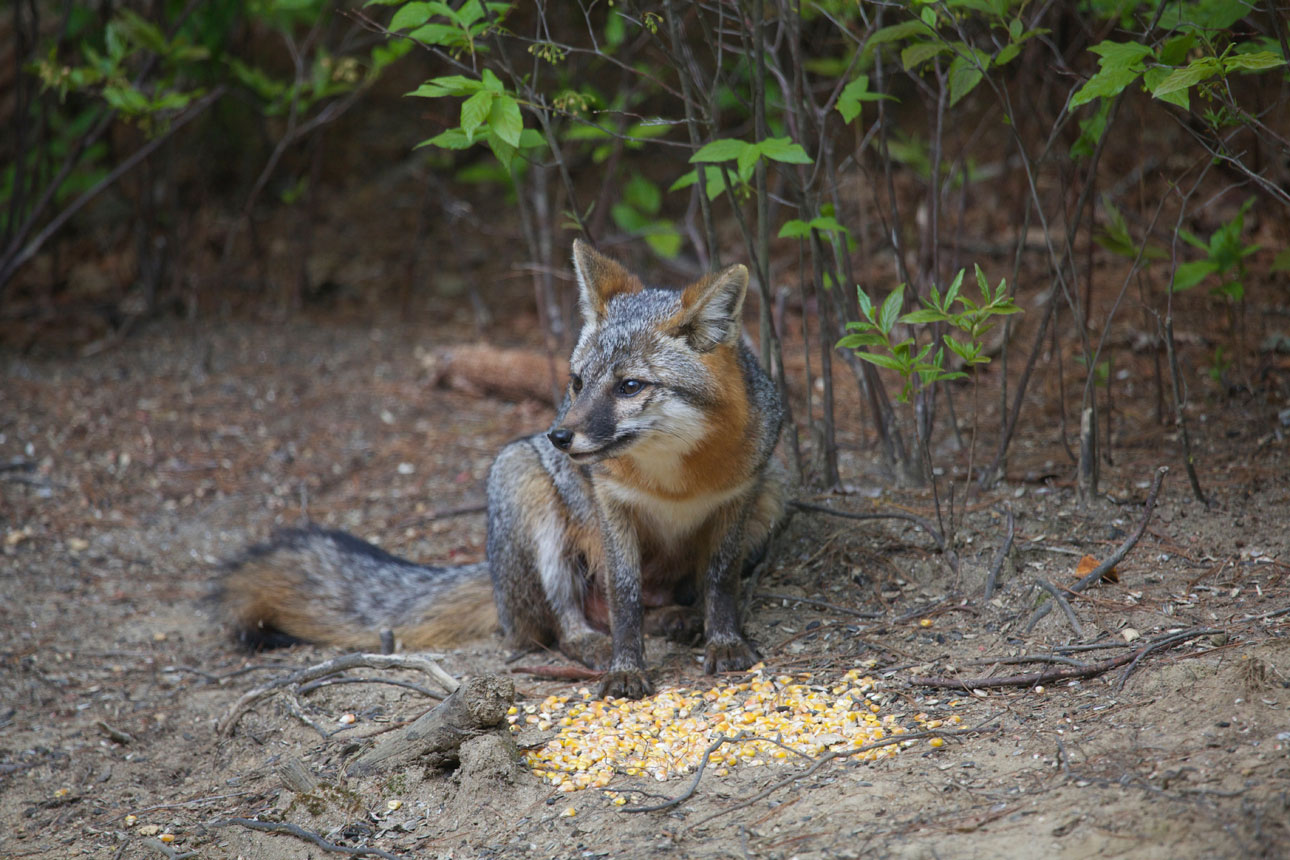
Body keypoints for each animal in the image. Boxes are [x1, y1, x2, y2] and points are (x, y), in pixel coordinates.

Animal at [219, 242, 784, 701]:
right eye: (577, 382)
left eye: (629, 387)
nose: (558, 437)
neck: (674, 480)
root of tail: (493, 581)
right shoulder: (611, 506)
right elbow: (624, 596)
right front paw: (627, 668)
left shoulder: (740, 498)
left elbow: (720, 580)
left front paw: (725, 640)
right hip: (524, 486)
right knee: (562, 625)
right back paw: (594, 643)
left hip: (774, 499)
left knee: (656, 599)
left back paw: (675, 617)